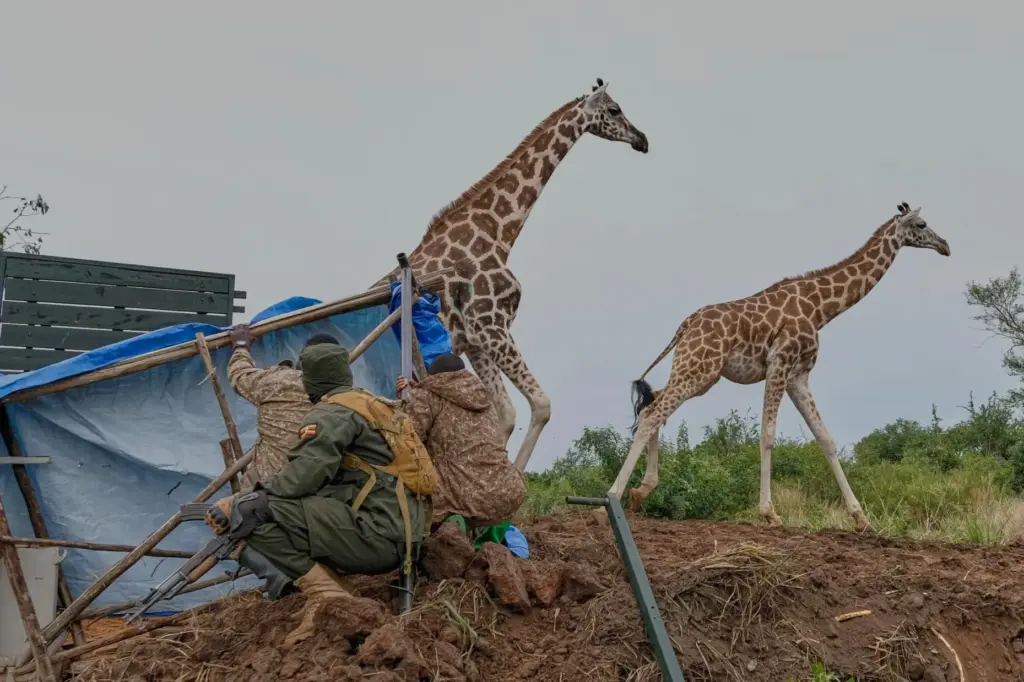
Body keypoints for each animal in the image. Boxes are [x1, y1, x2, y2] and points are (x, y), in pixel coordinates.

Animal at [373, 79, 649, 472]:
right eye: (614, 109)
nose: (642, 139)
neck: (499, 233)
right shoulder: (492, 327)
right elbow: (541, 404)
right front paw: (513, 480)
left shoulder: (477, 340)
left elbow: (503, 415)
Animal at [609, 202, 950, 531]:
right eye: (921, 224)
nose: (944, 245)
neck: (821, 308)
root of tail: (685, 326)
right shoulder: (779, 364)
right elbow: (768, 434)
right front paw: (769, 513)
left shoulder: (798, 376)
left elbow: (825, 438)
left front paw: (860, 517)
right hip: (700, 369)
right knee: (653, 413)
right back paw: (614, 496)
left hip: (698, 371)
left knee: (653, 404)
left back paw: (641, 491)